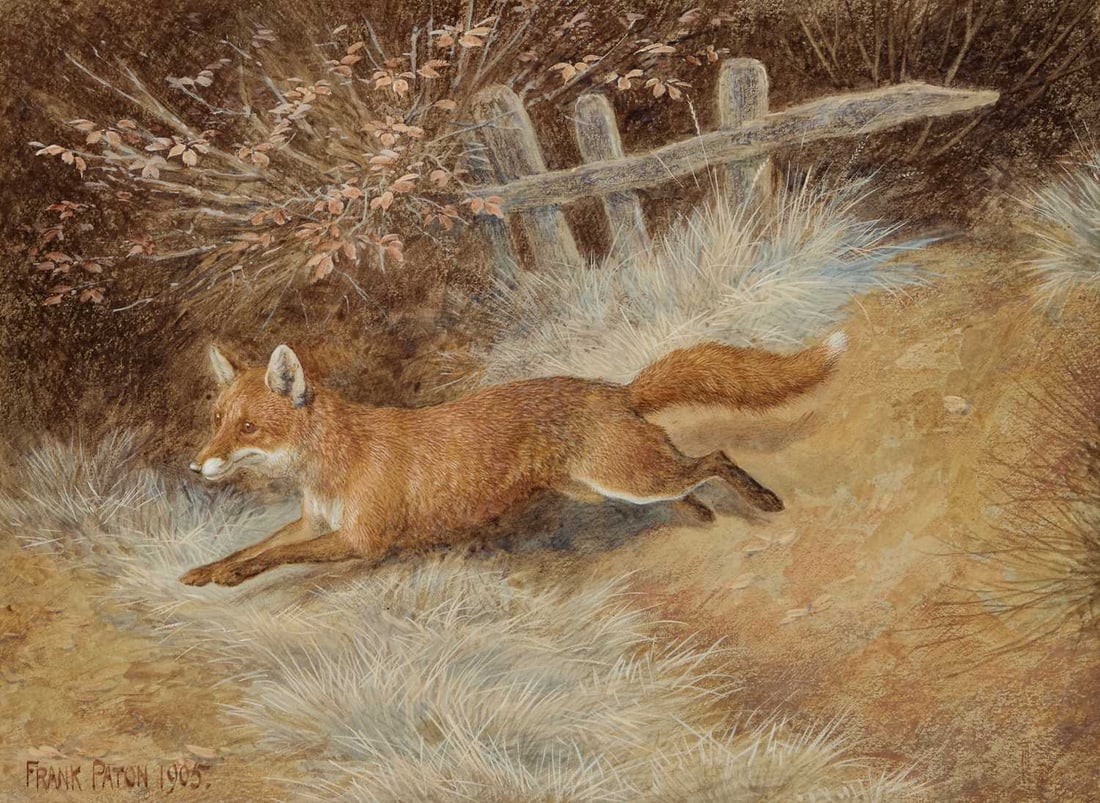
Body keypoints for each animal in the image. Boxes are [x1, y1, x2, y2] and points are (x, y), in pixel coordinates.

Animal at [180, 332, 847, 587]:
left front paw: (231, 578)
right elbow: (257, 546)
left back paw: (761, 499)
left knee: (713, 458)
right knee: (687, 484)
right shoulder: (314, 521)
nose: (194, 467)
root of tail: (617, 389)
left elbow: (276, 557)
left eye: (248, 428)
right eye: (216, 423)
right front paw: (206, 571)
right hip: (608, 485)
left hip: (627, 477)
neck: (334, 466)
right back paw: (699, 517)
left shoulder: (362, 540)